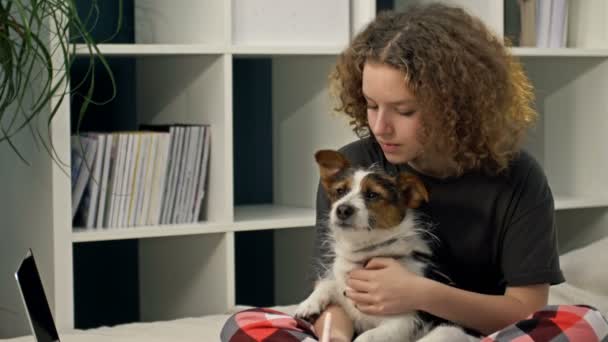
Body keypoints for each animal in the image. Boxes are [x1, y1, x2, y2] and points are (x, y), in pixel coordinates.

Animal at [294, 150, 476, 342]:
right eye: (340, 191)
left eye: (372, 195)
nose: (342, 209)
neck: (366, 254)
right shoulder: (348, 299)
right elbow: (328, 284)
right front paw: (309, 303)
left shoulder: (402, 322)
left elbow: (365, 338)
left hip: (446, 331)